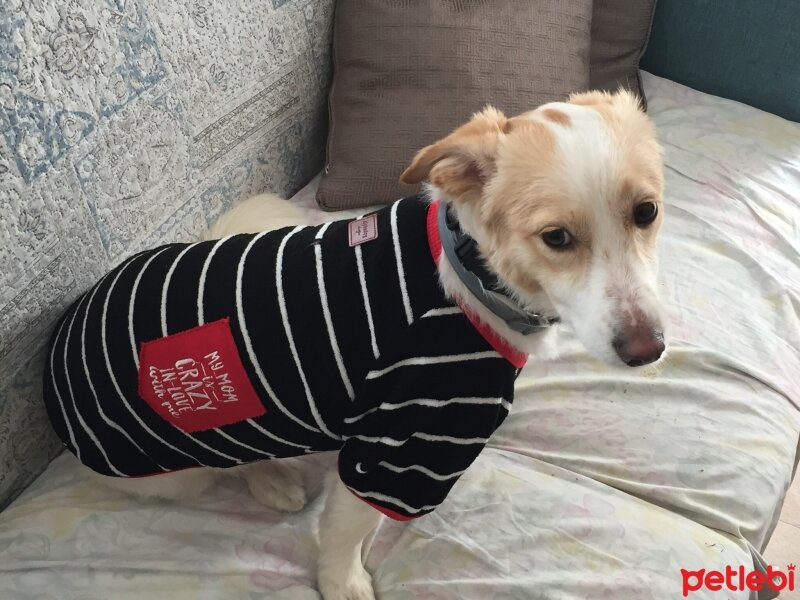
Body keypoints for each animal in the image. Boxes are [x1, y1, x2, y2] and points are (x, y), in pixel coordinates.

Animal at [42, 89, 664, 600]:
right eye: (556, 237)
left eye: (647, 211)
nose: (648, 349)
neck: (474, 275)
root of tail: (56, 356)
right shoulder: (402, 445)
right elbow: (347, 531)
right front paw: (344, 582)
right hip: (181, 467)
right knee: (226, 466)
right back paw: (271, 480)